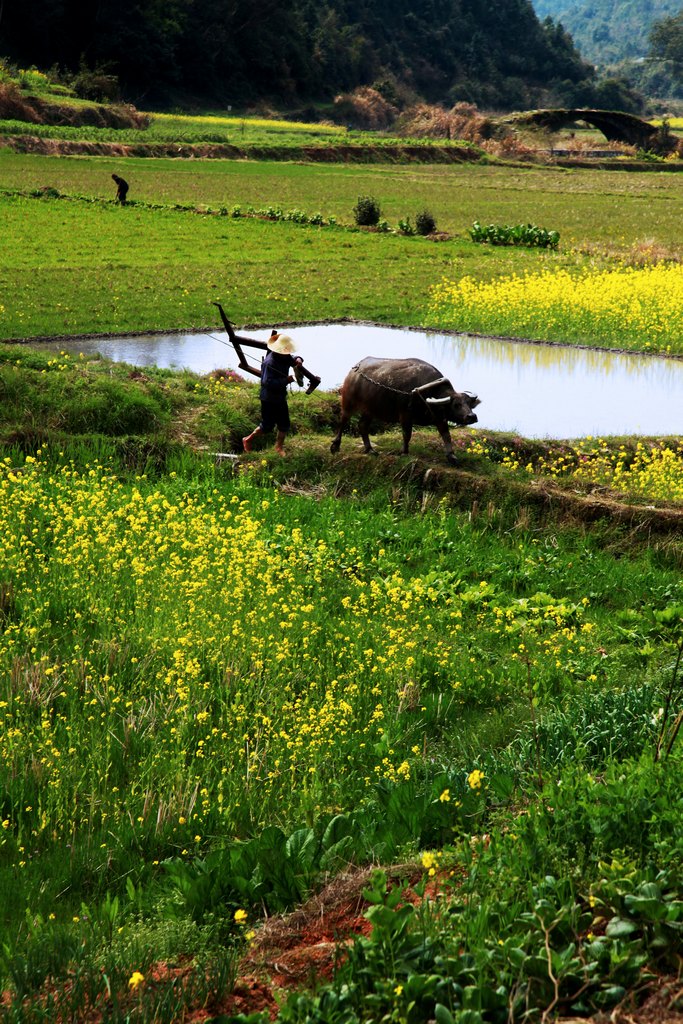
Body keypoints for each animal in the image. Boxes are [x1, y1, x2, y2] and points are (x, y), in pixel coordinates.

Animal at [331, 352, 481, 464]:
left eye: (469, 404)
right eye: (456, 405)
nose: (472, 416)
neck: (428, 393)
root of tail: (355, 368)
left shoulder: (440, 418)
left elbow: (446, 435)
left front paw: (451, 456)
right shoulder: (405, 415)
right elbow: (407, 434)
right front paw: (404, 452)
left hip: (370, 410)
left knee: (362, 425)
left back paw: (370, 449)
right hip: (348, 402)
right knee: (343, 421)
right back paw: (335, 446)